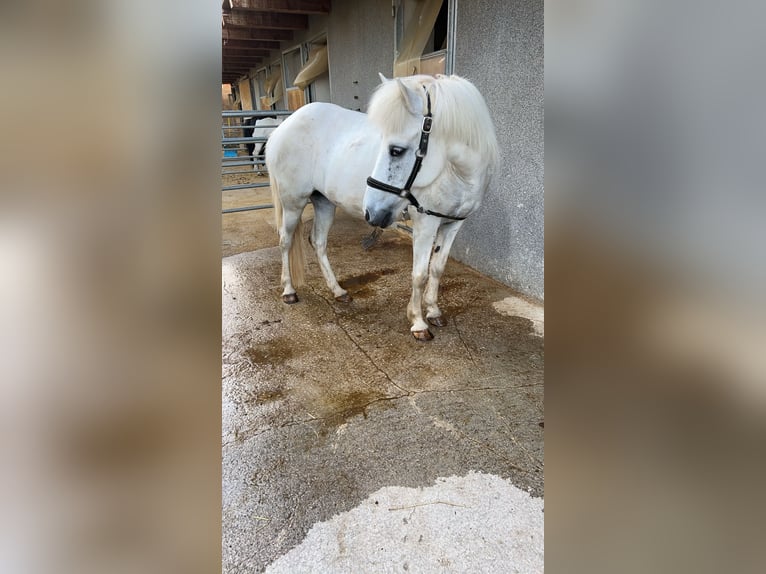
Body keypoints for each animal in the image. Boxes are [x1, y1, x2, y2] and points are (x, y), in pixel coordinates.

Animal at [268, 73, 500, 340]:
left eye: (396, 150)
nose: (370, 212)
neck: (452, 173)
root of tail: (284, 126)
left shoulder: (452, 225)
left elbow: (437, 268)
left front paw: (433, 311)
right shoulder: (426, 224)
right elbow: (419, 274)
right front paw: (418, 323)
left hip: (324, 202)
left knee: (318, 242)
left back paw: (338, 291)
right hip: (292, 202)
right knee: (285, 241)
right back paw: (288, 291)